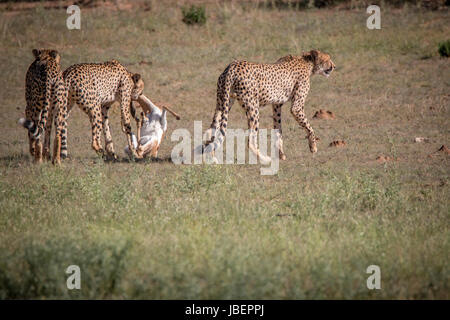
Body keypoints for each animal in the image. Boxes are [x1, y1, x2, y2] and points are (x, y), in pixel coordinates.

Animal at [203, 50, 334, 162]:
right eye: (328, 59)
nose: (334, 66)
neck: (307, 62)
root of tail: (232, 66)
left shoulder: (276, 105)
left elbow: (278, 130)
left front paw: (281, 154)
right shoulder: (296, 107)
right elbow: (309, 127)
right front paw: (313, 147)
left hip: (223, 103)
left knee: (212, 131)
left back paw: (213, 158)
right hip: (253, 108)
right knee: (250, 140)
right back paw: (264, 159)